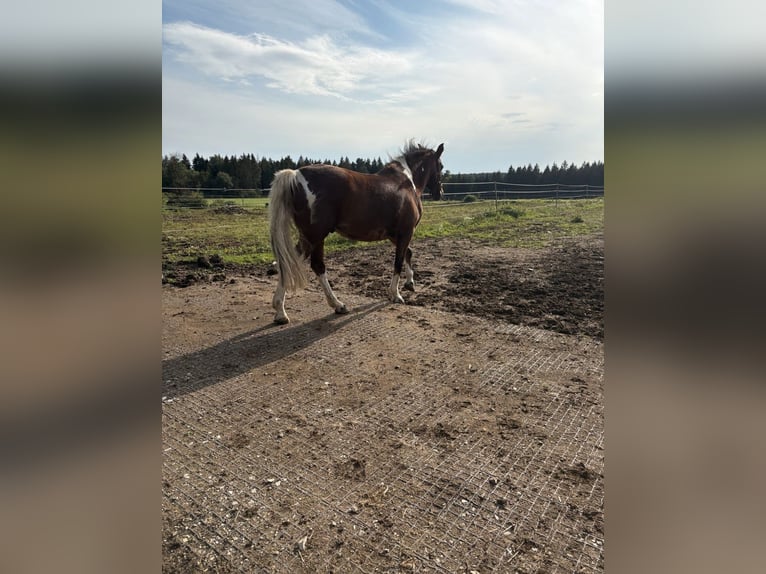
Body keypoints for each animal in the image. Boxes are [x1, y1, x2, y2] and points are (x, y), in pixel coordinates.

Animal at [268, 141, 445, 324]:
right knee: (316, 266)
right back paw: (337, 305)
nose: (440, 192)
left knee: (289, 263)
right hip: (315, 236)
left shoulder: (395, 235)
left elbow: (408, 253)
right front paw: (395, 295)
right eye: (441, 166)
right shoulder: (406, 231)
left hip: (308, 237)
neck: (406, 183)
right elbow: (398, 261)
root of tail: (296, 175)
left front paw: (410, 283)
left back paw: (281, 312)